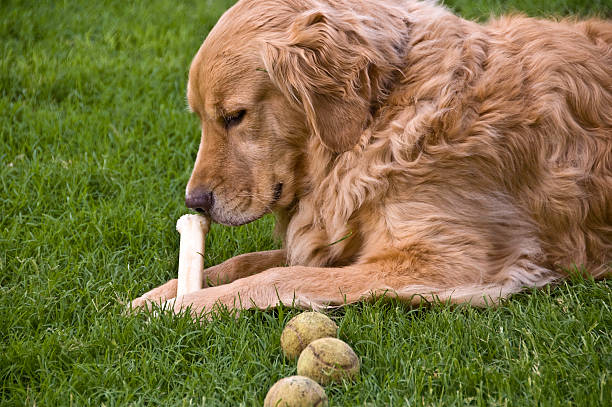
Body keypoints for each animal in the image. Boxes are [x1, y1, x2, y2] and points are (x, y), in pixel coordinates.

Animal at [131, 0, 608, 316]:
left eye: (234, 116)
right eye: (200, 117)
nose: (194, 204)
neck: (381, 116)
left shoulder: (454, 260)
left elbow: (277, 277)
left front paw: (184, 306)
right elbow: (243, 262)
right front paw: (163, 293)